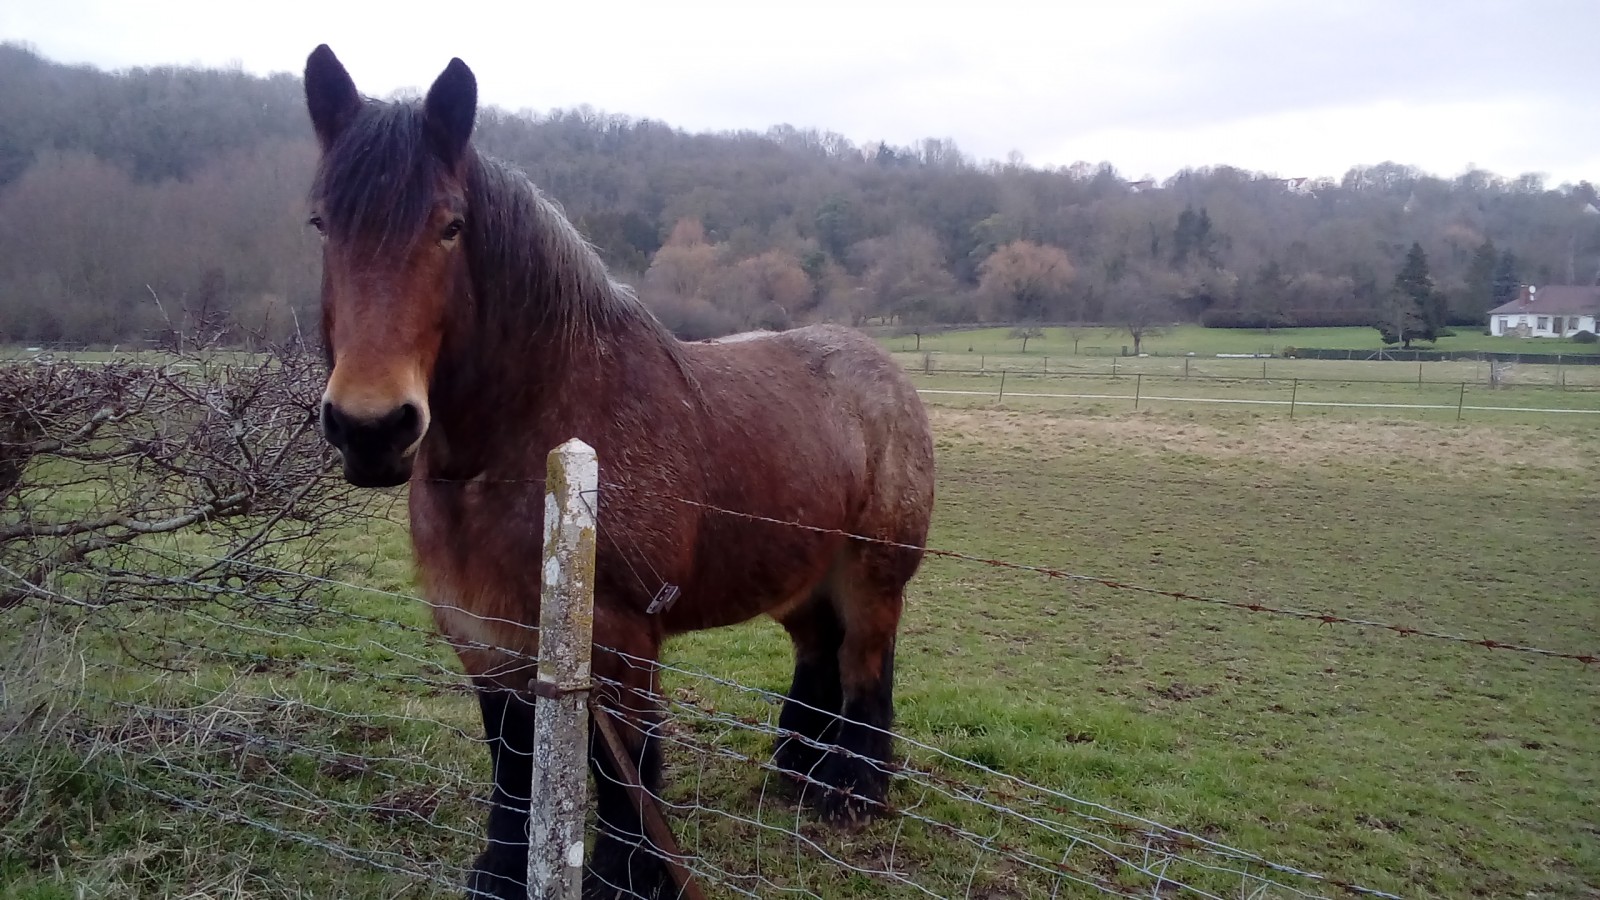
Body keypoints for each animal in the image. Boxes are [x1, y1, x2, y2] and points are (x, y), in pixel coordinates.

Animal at [300, 47, 934, 896]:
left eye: (450, 226)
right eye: (321, 224)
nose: (372, 429)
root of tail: (885, 370)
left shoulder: (624, 638)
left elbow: (626, 765)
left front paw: (631, 875)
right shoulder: (487, 635)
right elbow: (512, 762)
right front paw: (501, 874)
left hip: (871, 575)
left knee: (866, 664)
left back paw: (852, 792)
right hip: (800, 574)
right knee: (817, 652)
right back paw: (796, 772)